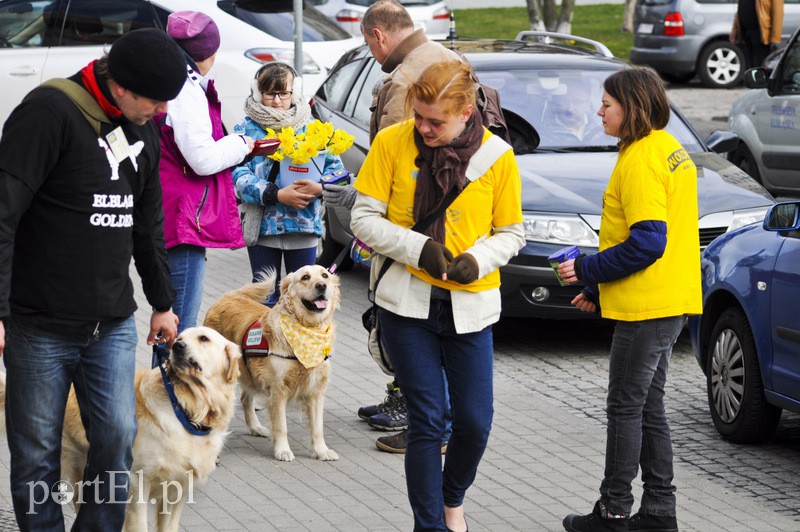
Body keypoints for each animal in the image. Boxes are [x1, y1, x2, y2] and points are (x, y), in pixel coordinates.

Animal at [0, 326, 241, 532]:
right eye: (179, 338)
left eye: (204, 338)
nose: (177, 346)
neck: (186, 407)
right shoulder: (136, 483)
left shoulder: (177, 489)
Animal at [203, 266, 340, 462]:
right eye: (305, 277)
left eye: (325, 275)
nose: (321, 286)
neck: (306, 328)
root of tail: (227, 297)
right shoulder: (278, 389)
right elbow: (281, 425)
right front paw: (282, 450)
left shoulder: (316, 390)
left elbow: (317, 427)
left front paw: (322, 451)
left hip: (249, 374)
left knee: (245, 399)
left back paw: (255, 427)